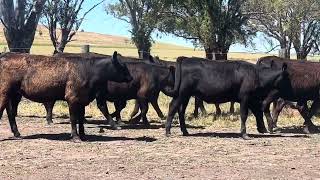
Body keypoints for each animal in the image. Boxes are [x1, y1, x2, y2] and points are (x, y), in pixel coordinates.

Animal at [0, 51, 132, 141]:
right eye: (122, 66)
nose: (131, 78)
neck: (88, 70)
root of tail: (6, 55)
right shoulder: (72, 99)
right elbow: (73, 118)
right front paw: (75, 137)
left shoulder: (82, 100)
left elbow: (81, 119)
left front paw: (83, 135)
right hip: (4, 92)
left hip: (13, 94)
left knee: (10, 113)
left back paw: (17, 134)